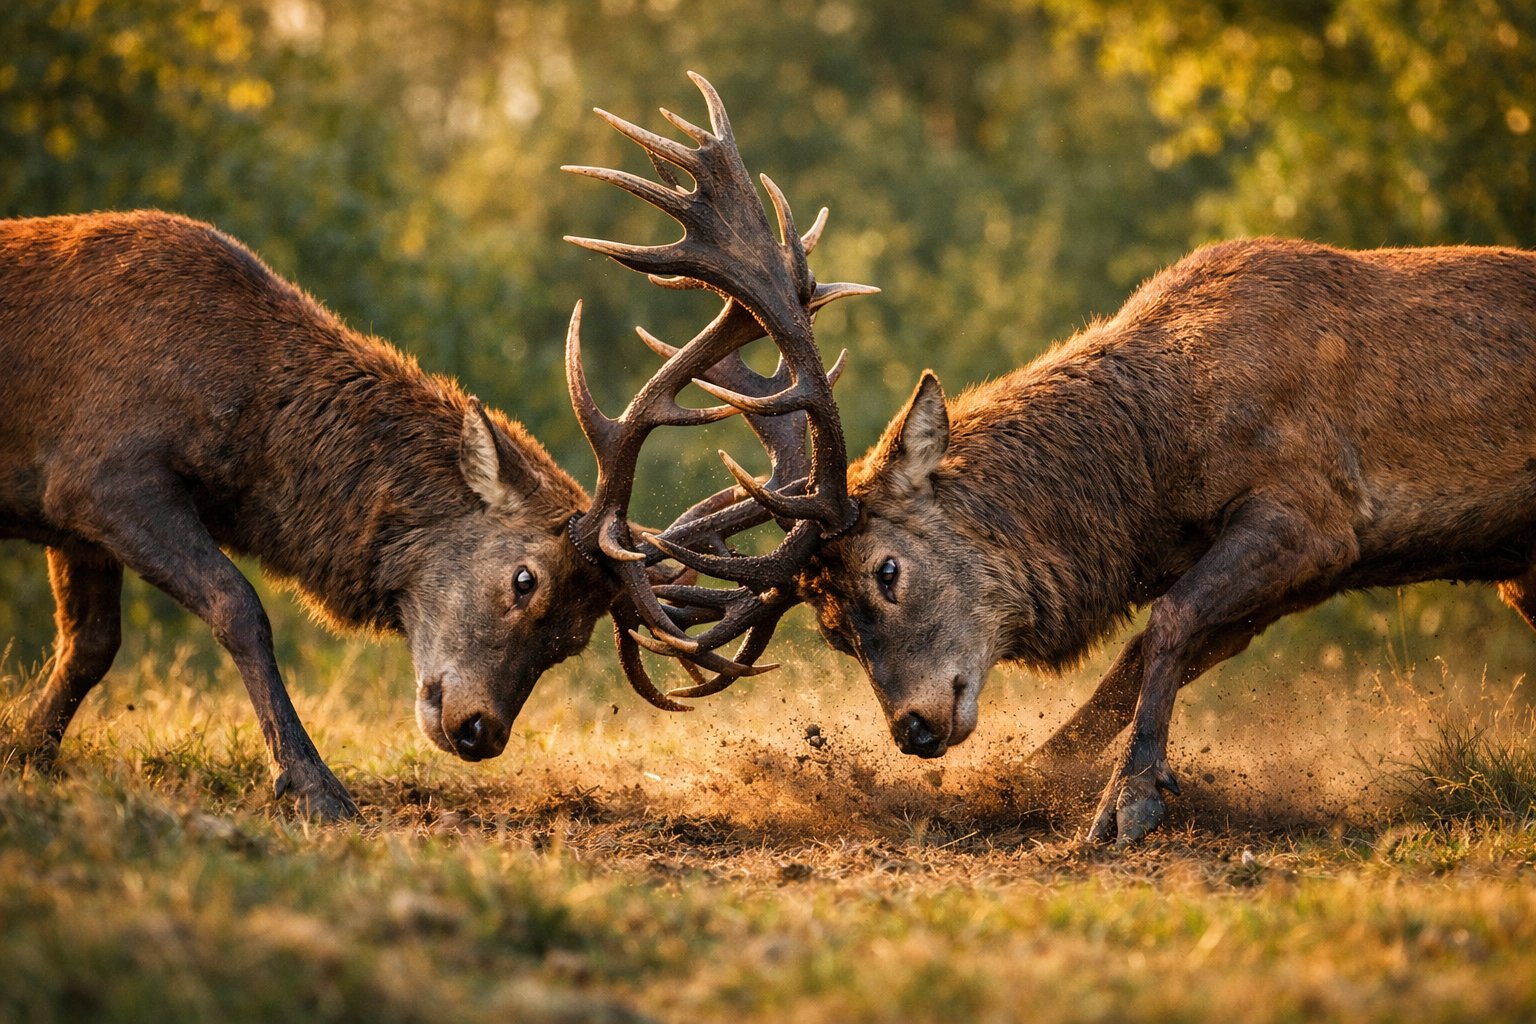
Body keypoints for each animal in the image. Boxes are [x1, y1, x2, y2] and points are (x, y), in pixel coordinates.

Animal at [0, 73, 871, 819]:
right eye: (524, 580)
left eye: (572, 642)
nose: (480, 732)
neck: (241, 416)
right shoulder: (100, 472)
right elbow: (235, 605)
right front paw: (315, 788)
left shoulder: (75, 519)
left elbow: (91, 645)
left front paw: (25, 754)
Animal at [789, 237, 1536, 846]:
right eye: (833, 633)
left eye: (887, 571)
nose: (911, 728)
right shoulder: (1287, 579)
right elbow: (1137, 658)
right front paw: (1017, 782)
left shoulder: (1317, 513)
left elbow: (1170, 618)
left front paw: (1131, 797)